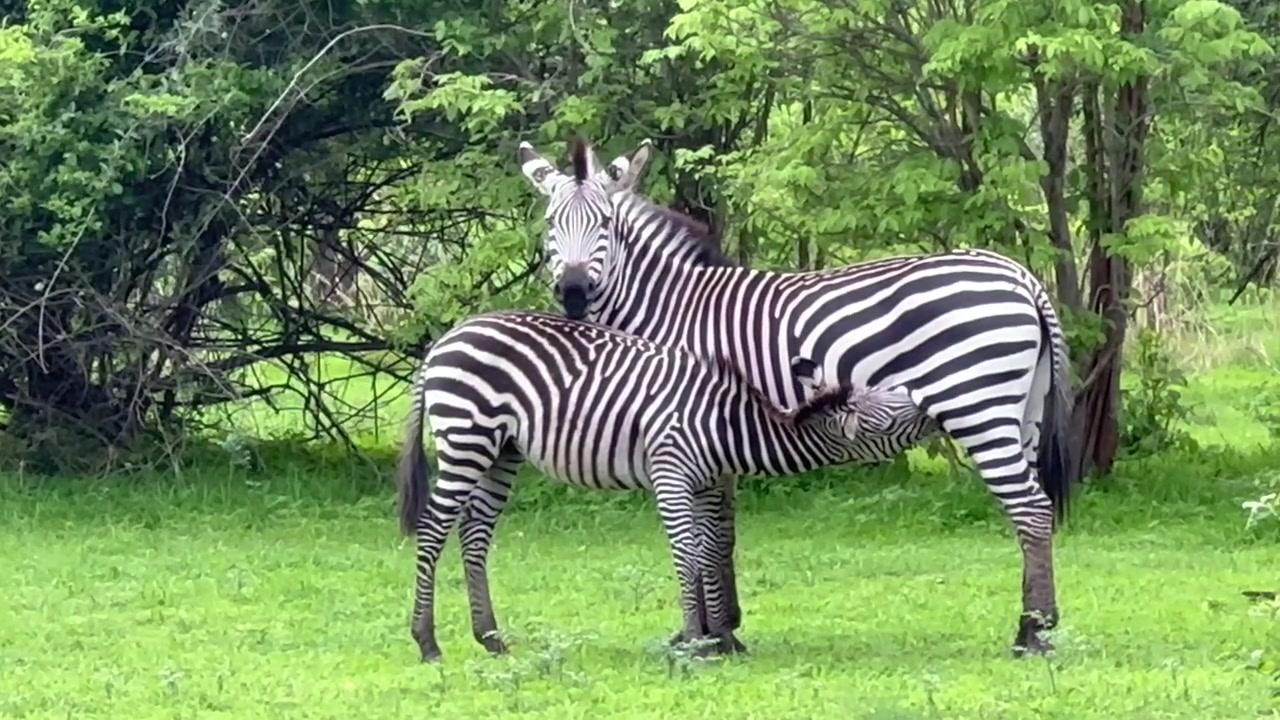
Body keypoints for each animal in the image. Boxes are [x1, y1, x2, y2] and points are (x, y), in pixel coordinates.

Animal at [395, 309, 932, 662]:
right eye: (892, 414)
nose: (928, 402)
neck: (727, 424)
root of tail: (444, 342)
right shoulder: (671, 474)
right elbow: (687, 555)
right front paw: (695, 640)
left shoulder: (707, 484)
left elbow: (711, 551)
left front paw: (720, 639)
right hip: (467, 437)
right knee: (433, 529)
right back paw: (427, 642)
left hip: (501, 451)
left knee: (474, 534)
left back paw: (490, 638)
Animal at [514, 137, 1076, 656]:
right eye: (550, 224)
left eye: (605, 225)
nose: (572, 293)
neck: (668, 309)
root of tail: (1021, 276)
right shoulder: (712, 438)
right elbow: (722, 531)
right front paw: (727, 628)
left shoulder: (692, 425)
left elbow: (707, 532)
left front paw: (712, 634)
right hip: (1023, 413)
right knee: (1035, 512)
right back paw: (1038, 625)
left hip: (977, 408)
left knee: (1029, 509)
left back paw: (1030, 634)